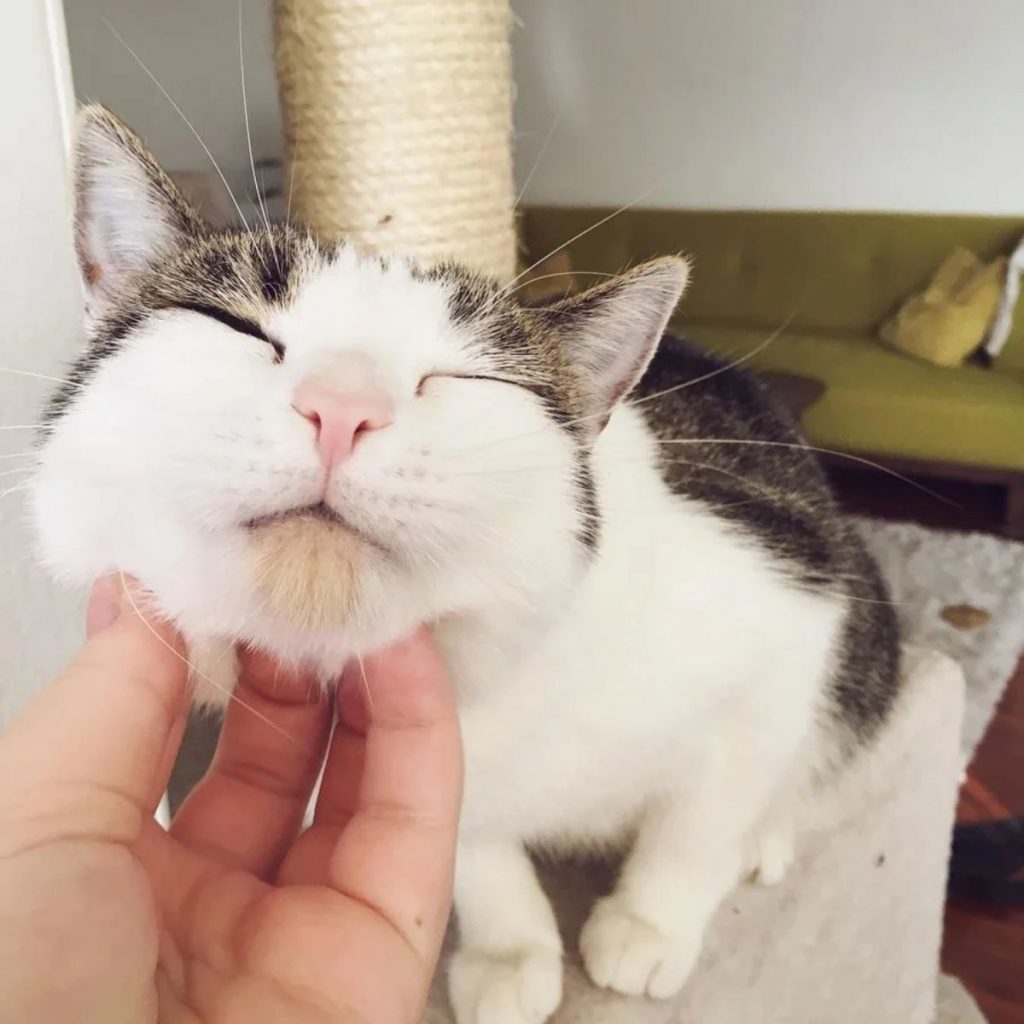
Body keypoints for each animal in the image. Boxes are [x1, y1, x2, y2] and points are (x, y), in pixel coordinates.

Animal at [29, 108, 897, 1024]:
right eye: (239, 327)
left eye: (464, 376)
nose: (342, 407)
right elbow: (476, 846)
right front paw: (510, 949)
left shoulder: (782, 621)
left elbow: (701, 820)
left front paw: (650, 923)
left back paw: (768, 833)